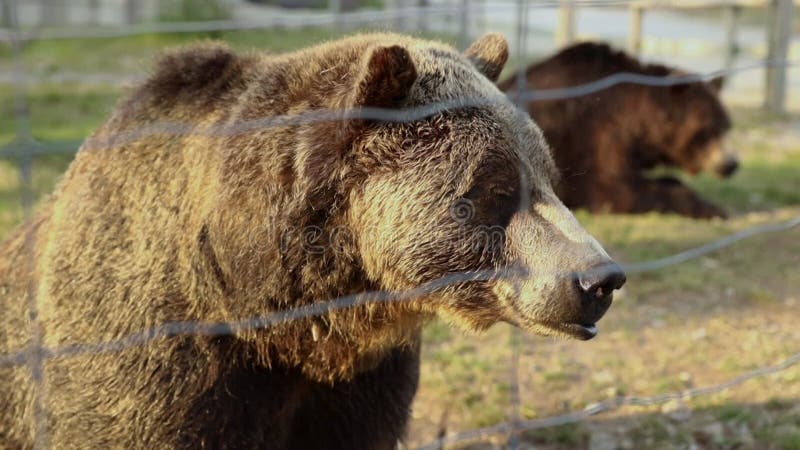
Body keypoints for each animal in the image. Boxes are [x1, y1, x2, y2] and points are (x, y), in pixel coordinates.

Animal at [500, 42, 736, 220]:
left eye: (725, 125)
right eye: (707, 129)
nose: (730, 164)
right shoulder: (597, 136)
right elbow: (619, 190)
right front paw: (717, 209)